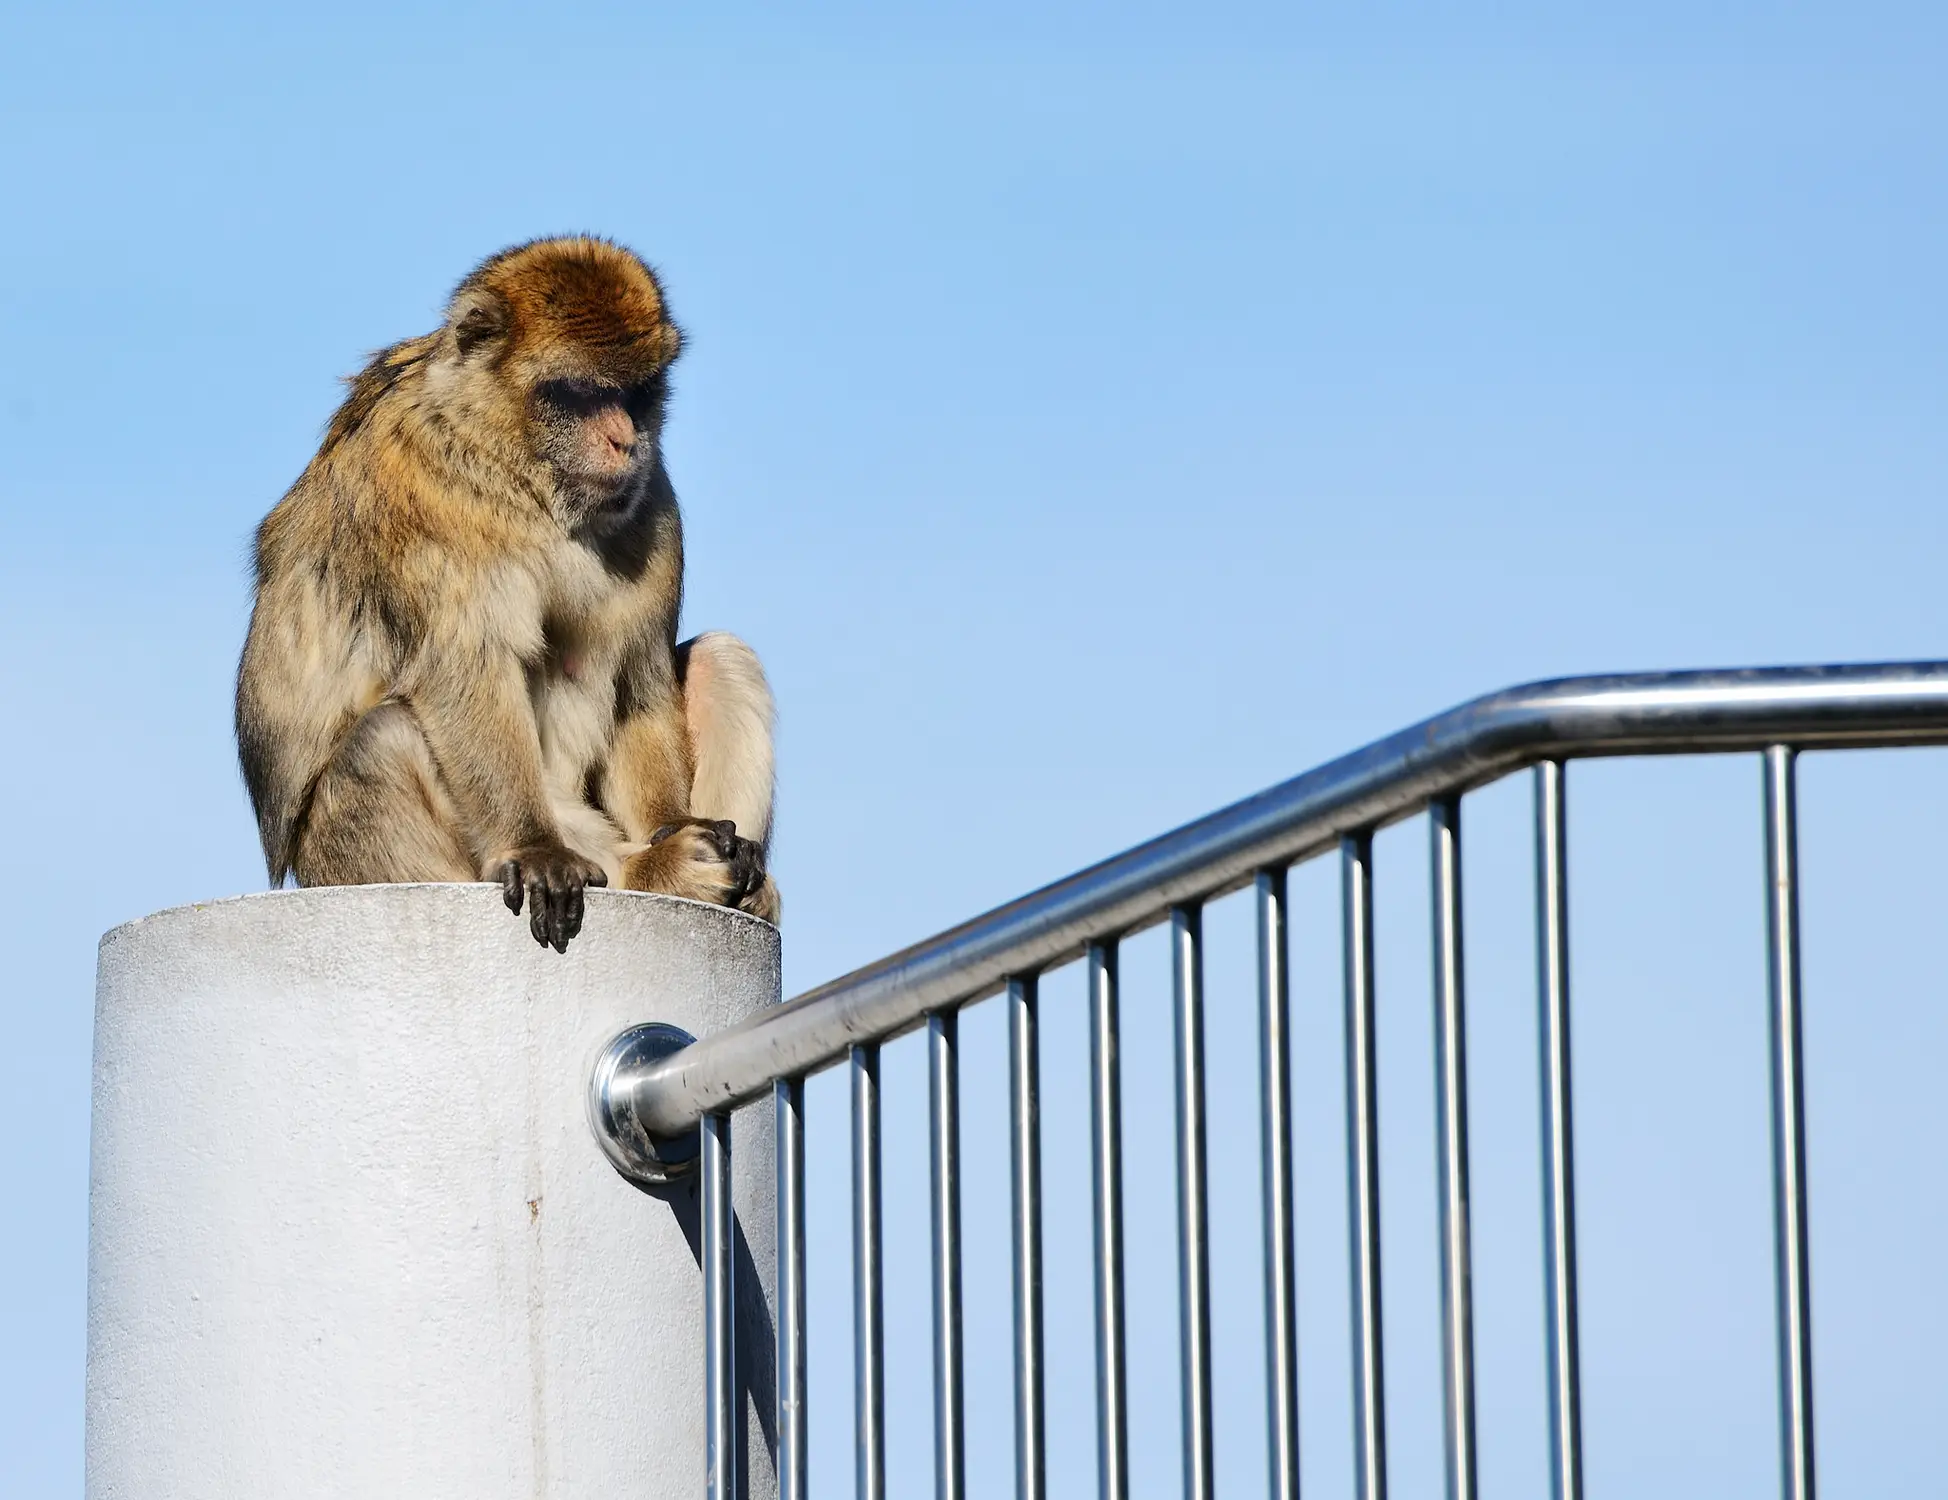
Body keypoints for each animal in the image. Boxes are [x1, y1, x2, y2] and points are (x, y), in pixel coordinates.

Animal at [231, 237, 771, 950]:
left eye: (639, 393)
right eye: (579, 395)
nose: (626, 440)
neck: (512, 467)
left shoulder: (654, 498)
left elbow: (639, 679)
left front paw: (678, 827)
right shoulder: (421, 491)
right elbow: (468, 670)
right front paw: (538, 848)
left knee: (722, 655)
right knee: (385, 737)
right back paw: (654, 870)